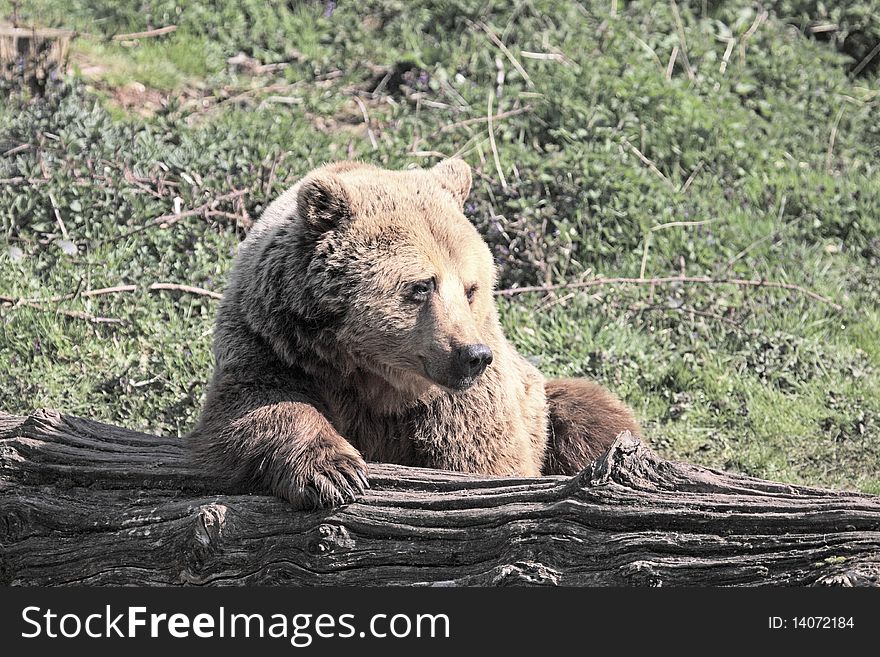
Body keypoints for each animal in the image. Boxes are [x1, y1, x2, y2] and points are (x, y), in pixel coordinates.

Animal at [187, 159, 640, 508]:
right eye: (422, 285)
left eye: (471, 288)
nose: (473, 355)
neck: (371, 373)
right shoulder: (270, 342)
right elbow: (256, 407)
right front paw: (335, 473)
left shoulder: (461, 403)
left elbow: (484, 459)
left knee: (589, 416)